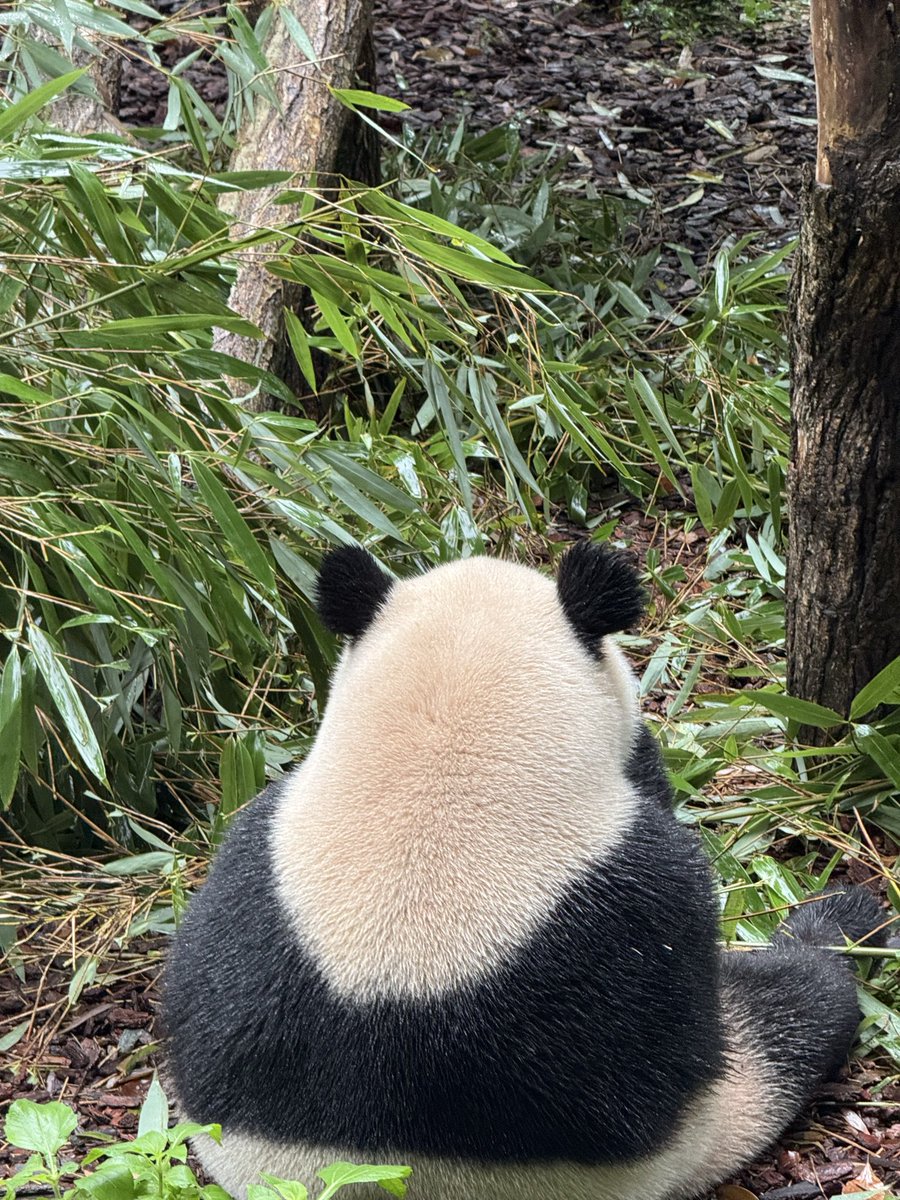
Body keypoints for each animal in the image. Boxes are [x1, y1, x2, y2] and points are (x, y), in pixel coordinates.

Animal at [163, 542, 885, 1200]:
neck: (435, 768)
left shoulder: (245, 875)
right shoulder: (637, 910)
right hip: (713, 1119)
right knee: (798, 1012)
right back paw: (843, 926)